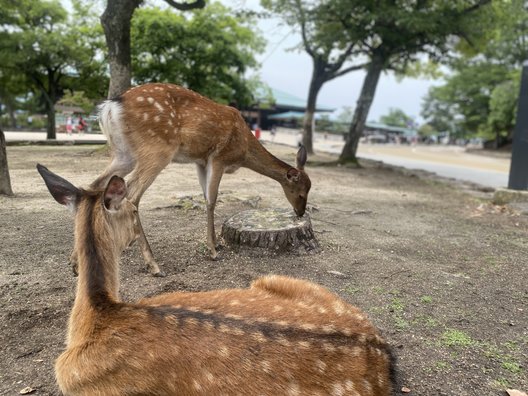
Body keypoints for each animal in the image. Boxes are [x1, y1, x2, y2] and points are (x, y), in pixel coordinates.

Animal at [87, 83, 312, 276]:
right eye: (302, 193)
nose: (300, 212)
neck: (244, 150)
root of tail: (110, 107)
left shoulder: (200, 161)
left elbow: (205, 197)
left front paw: (216, 243)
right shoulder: (219, 157)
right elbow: (212, 199)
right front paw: (213, 250)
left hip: (124, 153)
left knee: (95, 184)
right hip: (157, 149)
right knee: (132, 194)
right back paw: (154, 265)